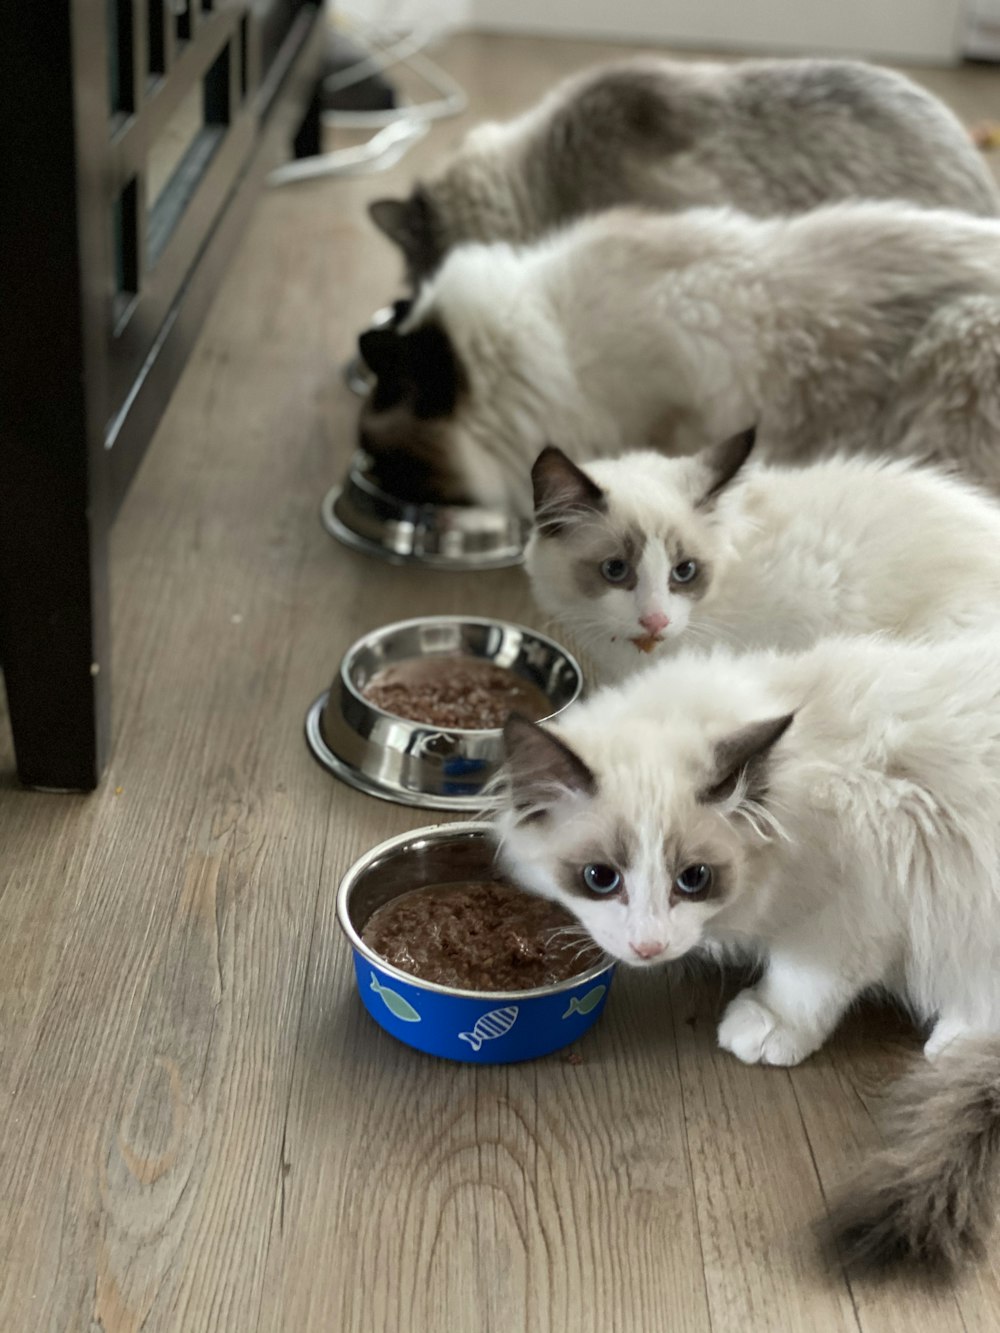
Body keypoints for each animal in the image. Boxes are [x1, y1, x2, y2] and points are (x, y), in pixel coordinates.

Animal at [498, 629, 1000, 1274]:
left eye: (694, 879)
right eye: (599, 878)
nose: (648, 945)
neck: (791, 800)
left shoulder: (856, 907)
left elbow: (805, 981)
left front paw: (766, 1026)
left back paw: (951, 1042)